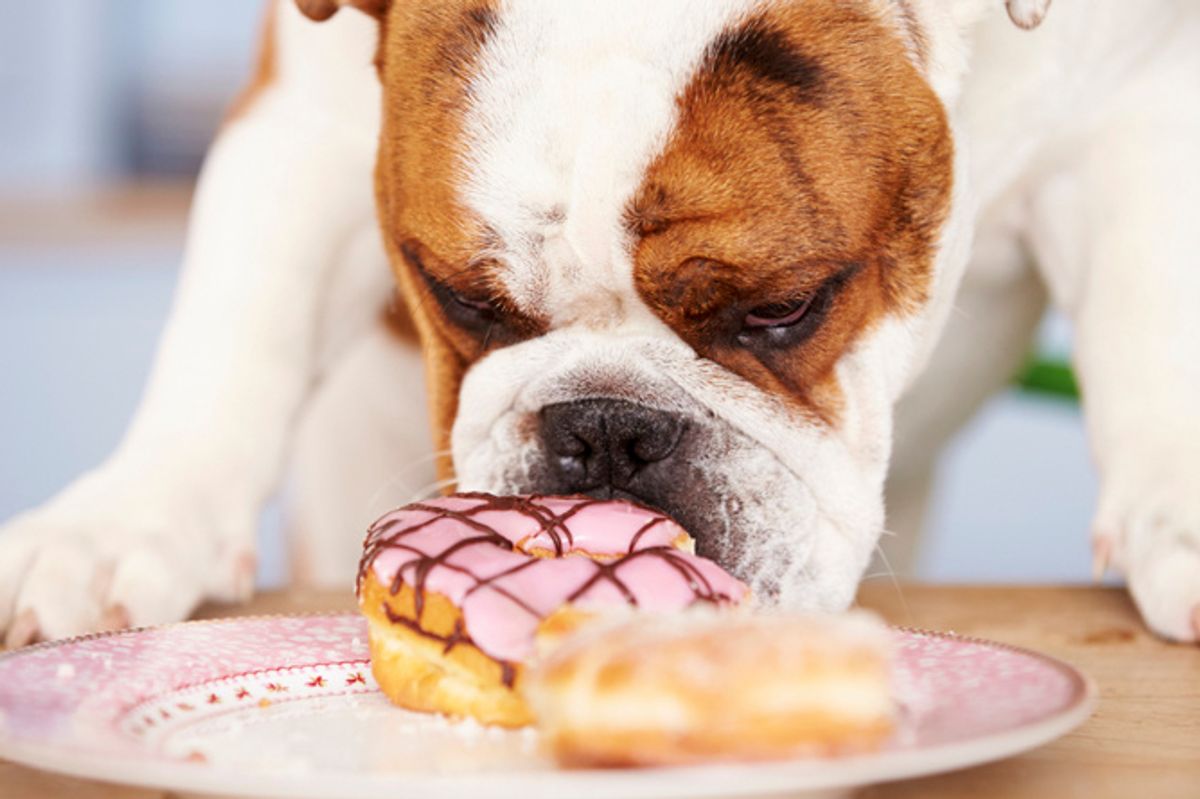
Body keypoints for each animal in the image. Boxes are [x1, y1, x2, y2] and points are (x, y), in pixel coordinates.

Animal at [2, 0, 1200, 643]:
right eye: (462, 300)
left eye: (783, 308)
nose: (607, 425)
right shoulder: (299, 116)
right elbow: (234, 335)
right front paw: (121, 521)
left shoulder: (1136, 101)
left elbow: (1153, 314)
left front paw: (1177, 511)